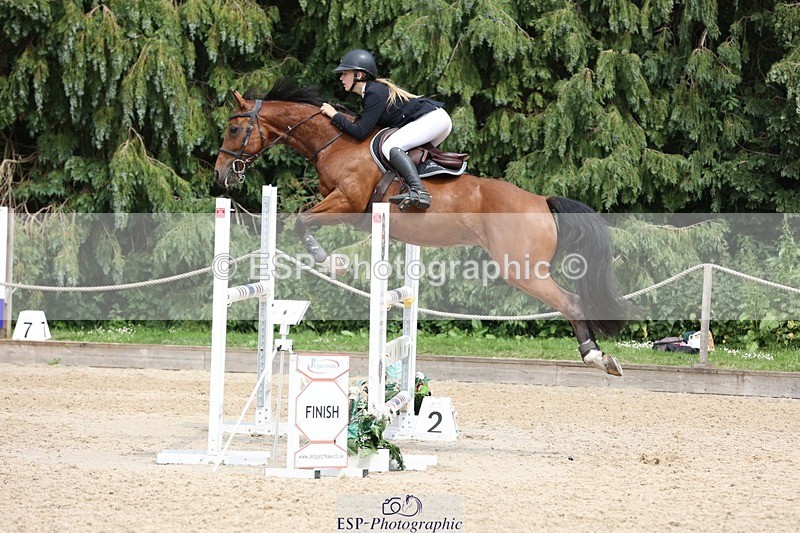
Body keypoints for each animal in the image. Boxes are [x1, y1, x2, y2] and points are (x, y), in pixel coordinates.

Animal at [213, 80, 628, 376]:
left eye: (233, 130)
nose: (221, 175)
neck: (336, 142)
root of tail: (541, 201)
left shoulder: (347, 204)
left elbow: (301, 222)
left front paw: (332, 263)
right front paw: (336, 261)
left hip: (522, 268)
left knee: (571, 301)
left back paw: (597, 358)